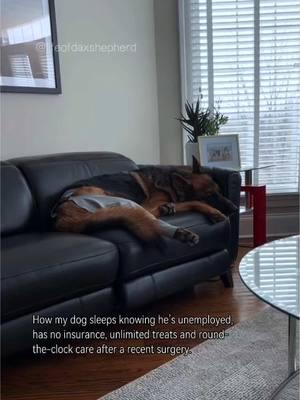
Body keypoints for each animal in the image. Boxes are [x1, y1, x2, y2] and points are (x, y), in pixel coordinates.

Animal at [52, 157, 238, 245]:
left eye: (220, 191)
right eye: (210, 196)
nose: (235, 208)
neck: (171, 184)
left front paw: (169, 206)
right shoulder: (150, 203)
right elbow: (196, 202)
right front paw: (214, 212)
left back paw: (168, 210)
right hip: (125, 204)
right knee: (149, 218)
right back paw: (180, 231)